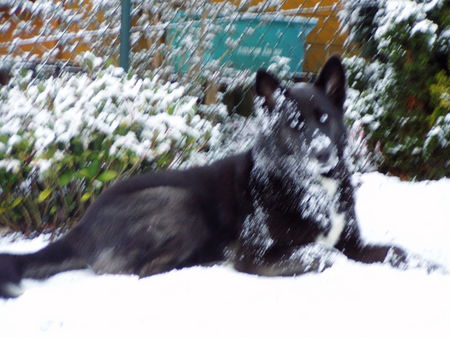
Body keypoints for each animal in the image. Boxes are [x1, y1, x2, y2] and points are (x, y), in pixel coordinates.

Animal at [0, 56, 436, 298]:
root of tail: (81, 226)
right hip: (179, 203)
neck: (310, 187)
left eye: (324, 118)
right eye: (294, 124)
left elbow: (396, 252)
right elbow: (322, 254)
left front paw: (430, 266)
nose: (323, 153)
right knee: (142, 271)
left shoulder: (354, 242)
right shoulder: (255, 253)